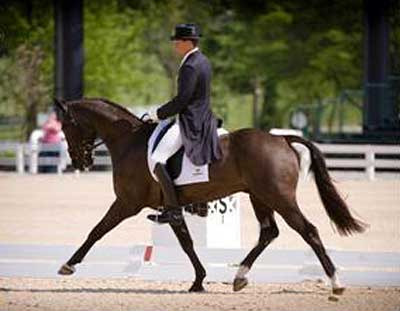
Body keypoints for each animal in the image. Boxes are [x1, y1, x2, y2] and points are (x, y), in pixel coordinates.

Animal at [55, 97, 366, 294]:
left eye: (65, 126)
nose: (80, 161)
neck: (129, 140)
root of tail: (281, 139)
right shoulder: (171, 208)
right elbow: (186, 242)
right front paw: (198, 281)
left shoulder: (126, 203)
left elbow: (97, 230)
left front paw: (68, 265)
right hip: (260, 196)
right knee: (269, 232)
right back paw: (240, 277)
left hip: (279, 197)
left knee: (308, 230)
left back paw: (336, 283)